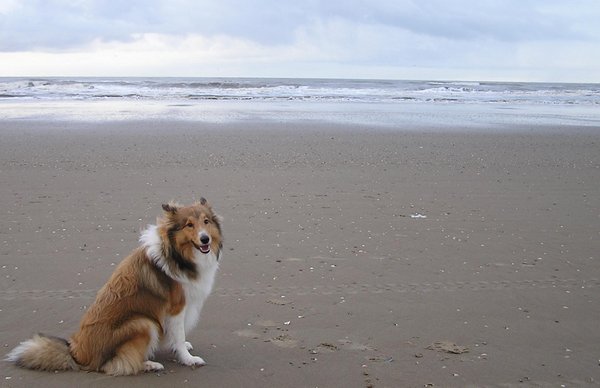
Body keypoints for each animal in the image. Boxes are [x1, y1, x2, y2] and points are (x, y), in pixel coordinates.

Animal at [4, 199, 224, 374]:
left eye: (206, 221)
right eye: (189, 225)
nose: (205, 239)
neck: (177, 254)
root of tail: (77, 354)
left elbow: (178, 335)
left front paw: (183, 347)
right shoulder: (177, 308)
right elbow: (178, 334)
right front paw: (188, 359)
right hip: (142, 322)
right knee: (115, 364)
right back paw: (149, 365)